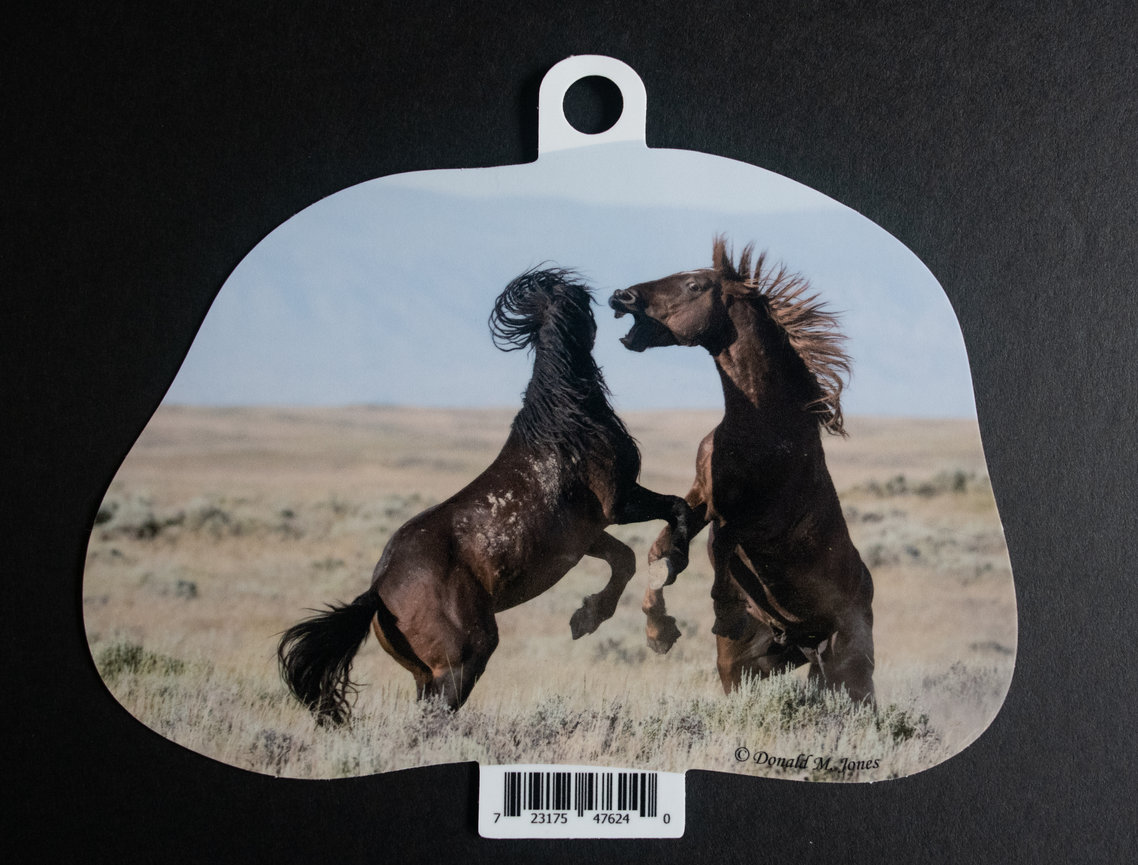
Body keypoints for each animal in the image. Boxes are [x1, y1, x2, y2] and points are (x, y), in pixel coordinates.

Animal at [278, 267, 694, 723]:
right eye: (584, 300)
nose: (619, 298)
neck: (569, 420)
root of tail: (378, 590)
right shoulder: (618, 503)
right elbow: (678, 510)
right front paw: (668, 579)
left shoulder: (585, 535)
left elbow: (625, 559)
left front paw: (588, 619)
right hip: (466, 657)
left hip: (426, 675)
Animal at [609, 238, 875, 704]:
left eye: (694, 285)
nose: (622, 297)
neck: (760, 426)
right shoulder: (703, 495)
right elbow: (664, 543)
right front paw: (659, 629)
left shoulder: (767, 521)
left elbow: (722, 541)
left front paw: (722, 610)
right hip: (743, 669)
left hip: (850, 668)